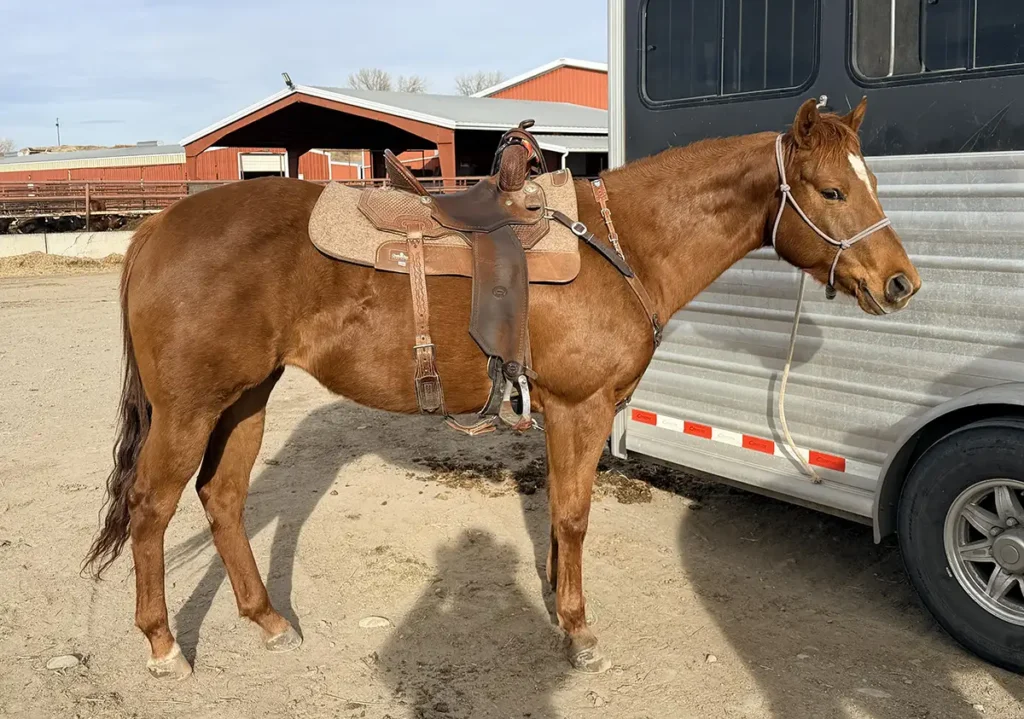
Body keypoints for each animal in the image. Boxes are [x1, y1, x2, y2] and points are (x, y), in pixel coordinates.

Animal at [84, 98, 920, 679]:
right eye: (832, 190)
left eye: (871, 181)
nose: (901, 283)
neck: (623, 245)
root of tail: (157, 228)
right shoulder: (580, 409)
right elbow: (575, 517)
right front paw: (578, 630)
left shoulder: (562, 415)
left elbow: (558, 516)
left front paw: (557, 603)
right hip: (189, 410)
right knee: (151, 509)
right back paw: (163, 645)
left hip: (245, 400)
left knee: (222, 500)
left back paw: (266, 620)